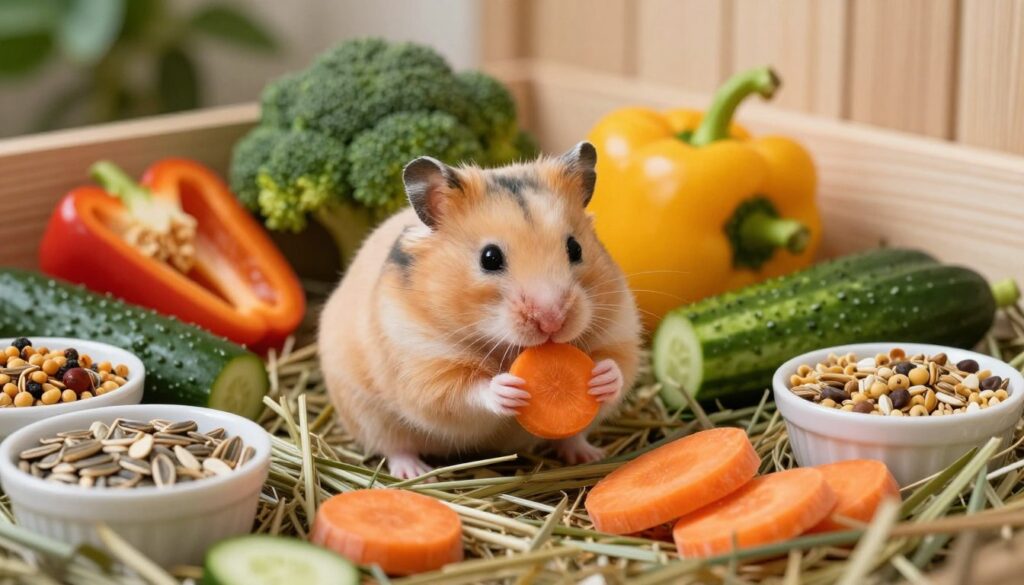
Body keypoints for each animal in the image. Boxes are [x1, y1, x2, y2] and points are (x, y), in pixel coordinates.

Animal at [318, 142, 642, 479]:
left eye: (575, 248)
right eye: (490, 258)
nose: (552, 321)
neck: (506, 346)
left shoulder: (619, 327)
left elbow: (620, 364)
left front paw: (601, 376)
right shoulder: (423, 364)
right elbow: (464, 392)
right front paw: (508, 388)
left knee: (572, 435)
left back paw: (588, 454)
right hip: (368, 414)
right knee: (394, 447)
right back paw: (414, 472)